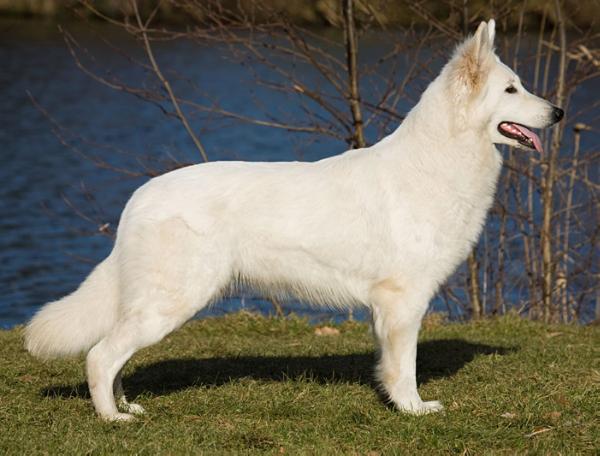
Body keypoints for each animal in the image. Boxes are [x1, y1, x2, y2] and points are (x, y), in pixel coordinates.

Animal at [25, 20, 564, 420]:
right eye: (511, 89)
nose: (559, 112)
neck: (439, 158)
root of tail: (138, 198)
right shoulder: (403, 300)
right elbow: (405, 366)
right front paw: (413, 409)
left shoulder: (387, 307)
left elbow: (388, 364)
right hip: (171, 303)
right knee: (100, 356)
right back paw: (111, 419)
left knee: (113, 357)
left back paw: (125, 407)